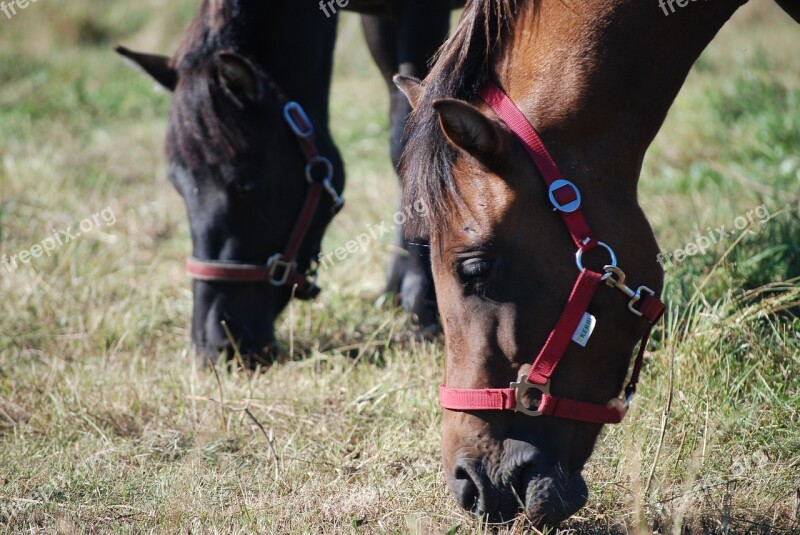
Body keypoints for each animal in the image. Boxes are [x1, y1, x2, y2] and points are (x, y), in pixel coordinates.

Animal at [116, 1, 460, 364]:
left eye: (247, 186)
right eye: (178, 187)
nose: (215, 343)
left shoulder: (424, 13)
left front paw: (422, 305)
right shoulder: (380, 19)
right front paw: (395, 289)